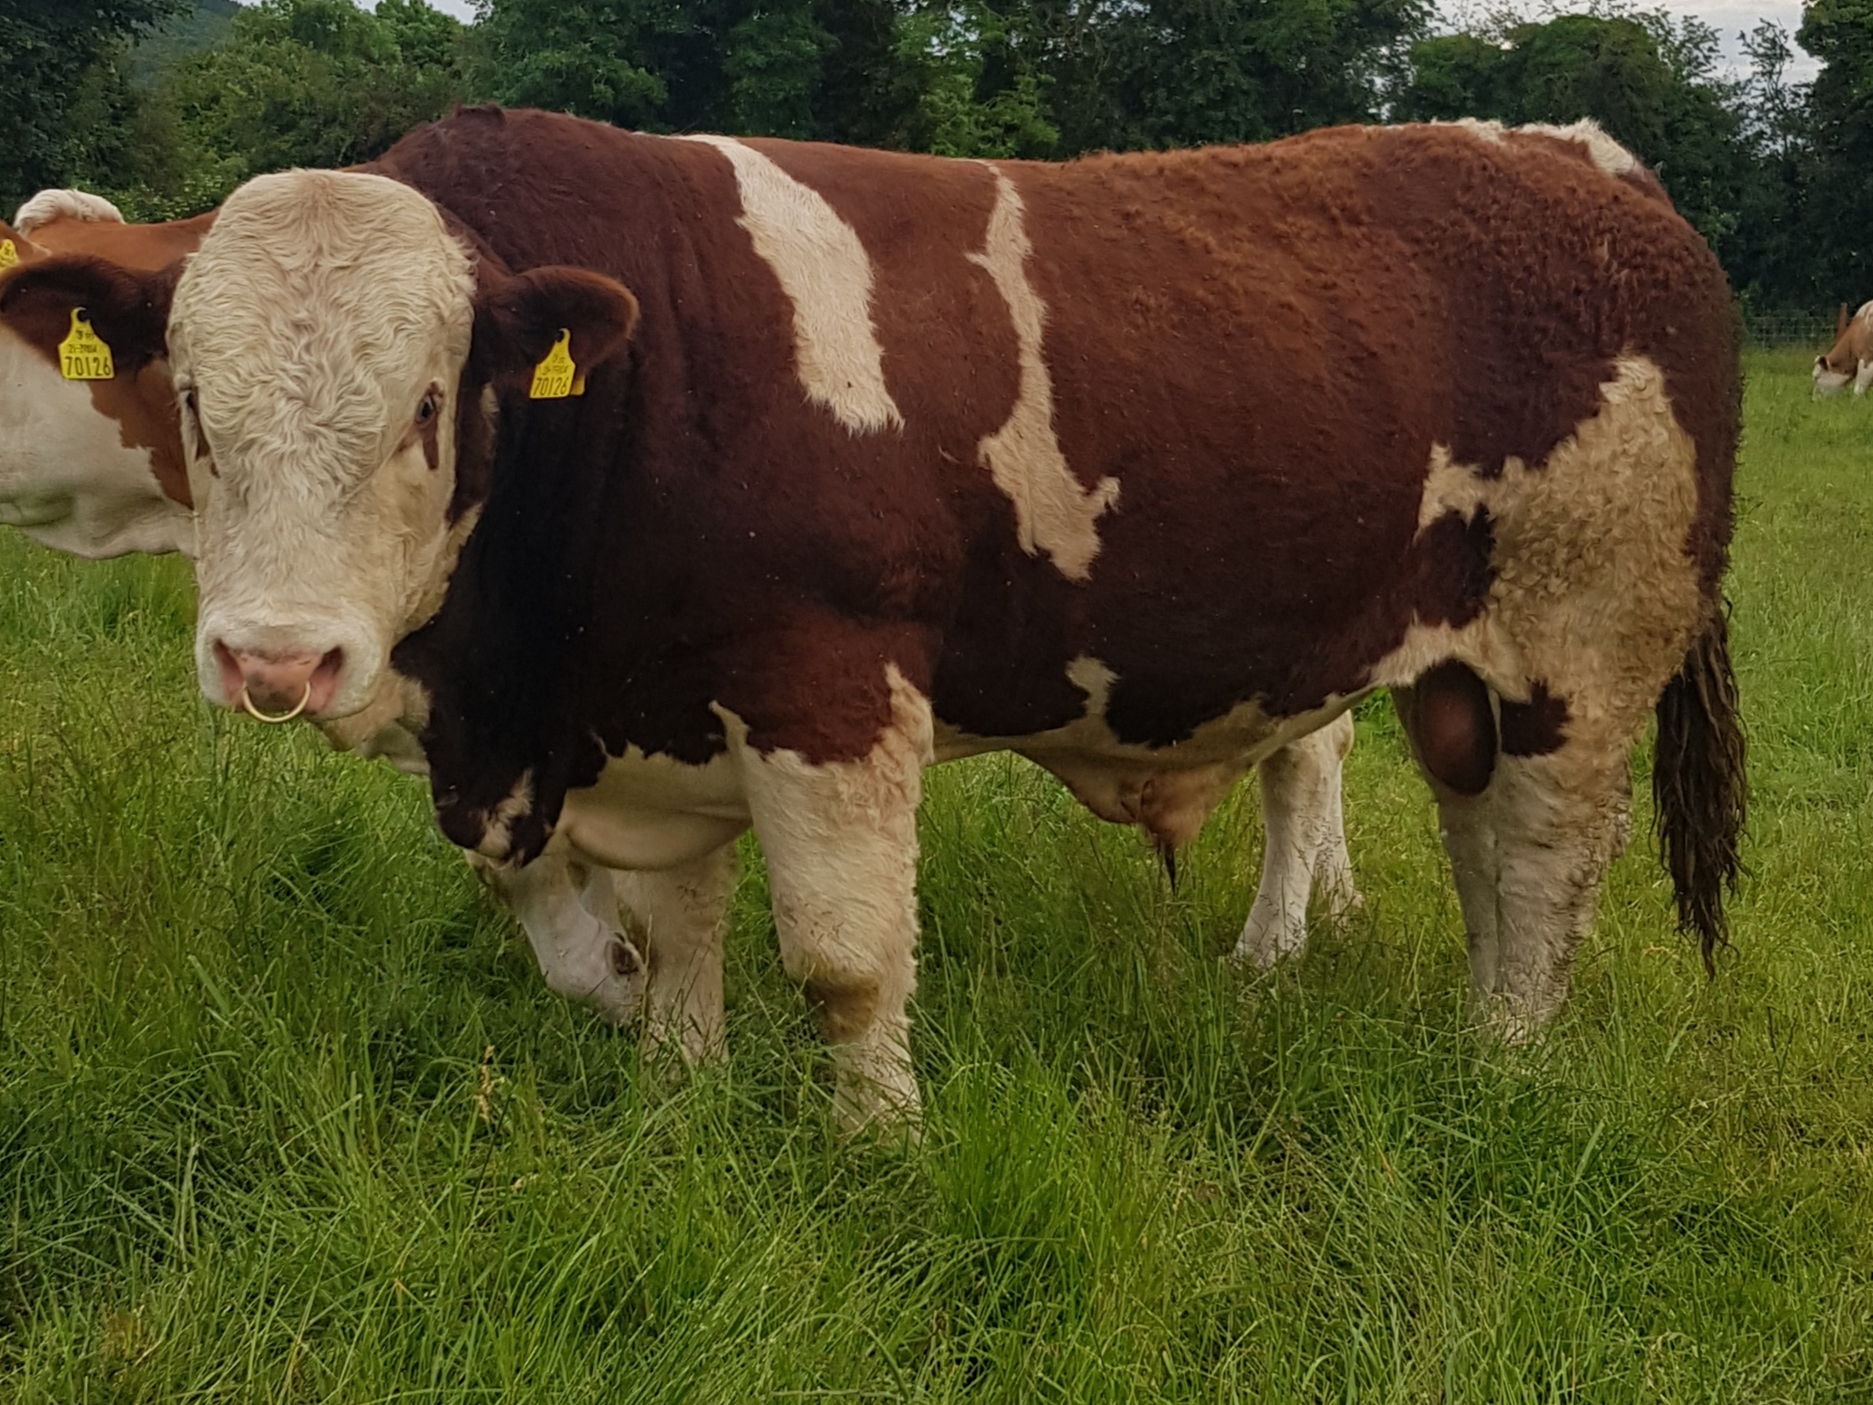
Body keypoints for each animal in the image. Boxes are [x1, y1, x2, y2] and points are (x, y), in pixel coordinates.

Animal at [0, 186, 1365, 1044]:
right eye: (192, 400)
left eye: (428, 406)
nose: (272, 656)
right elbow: (589, 905)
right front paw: (634, 1006)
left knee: (1311, 755)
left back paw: (1280, 944)